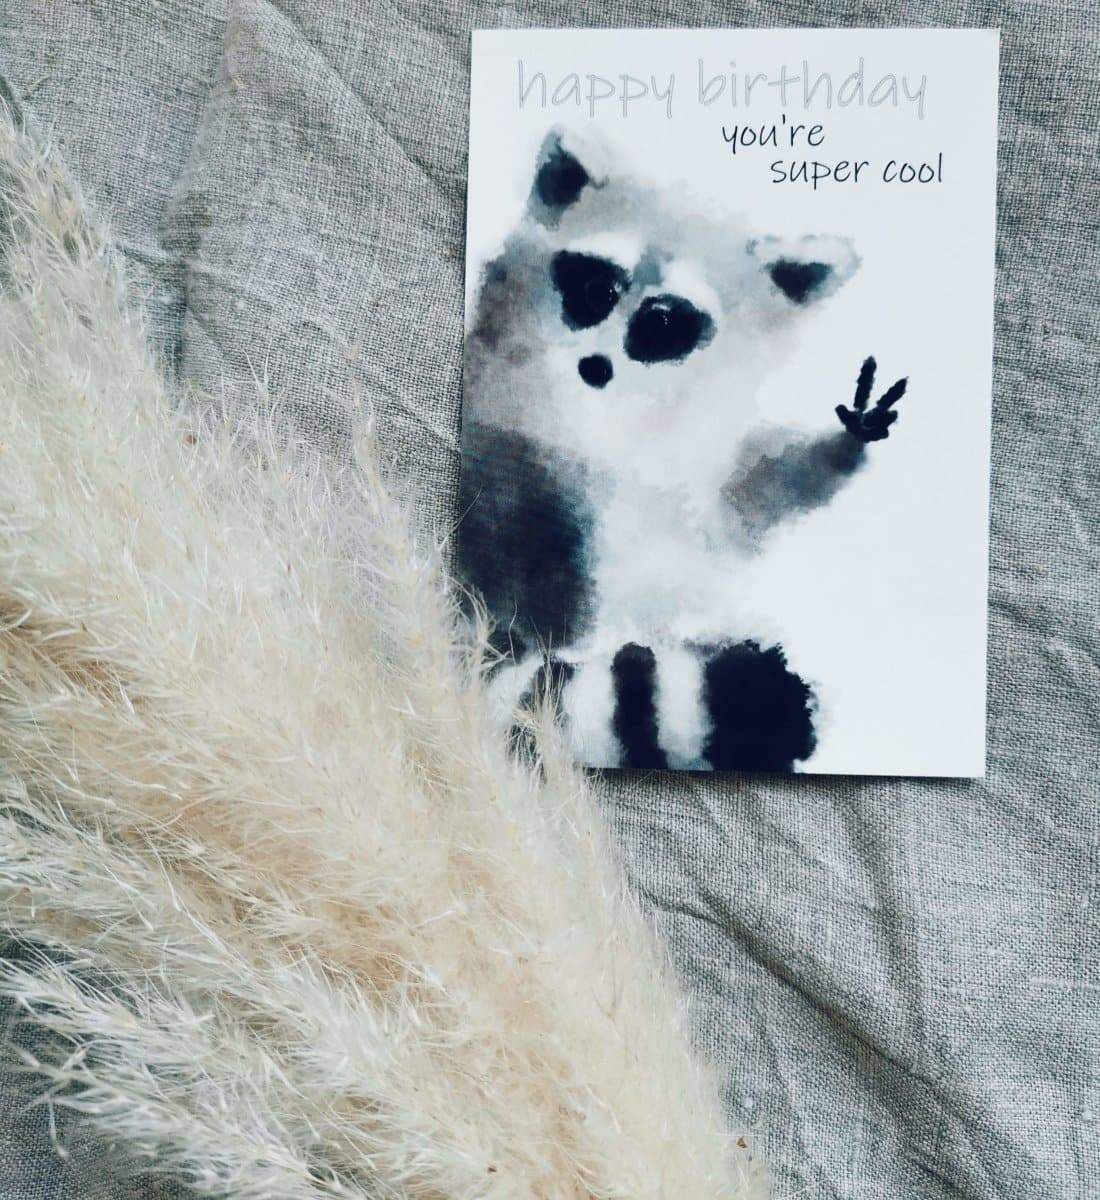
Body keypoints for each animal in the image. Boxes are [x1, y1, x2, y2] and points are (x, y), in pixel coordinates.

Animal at [458, 129, 908, 772]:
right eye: (596, 291)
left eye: (665, 323)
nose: (594, 366)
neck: (625, 414)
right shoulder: (506, 419)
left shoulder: (702, 469)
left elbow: (745, 498)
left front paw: (841, 447)